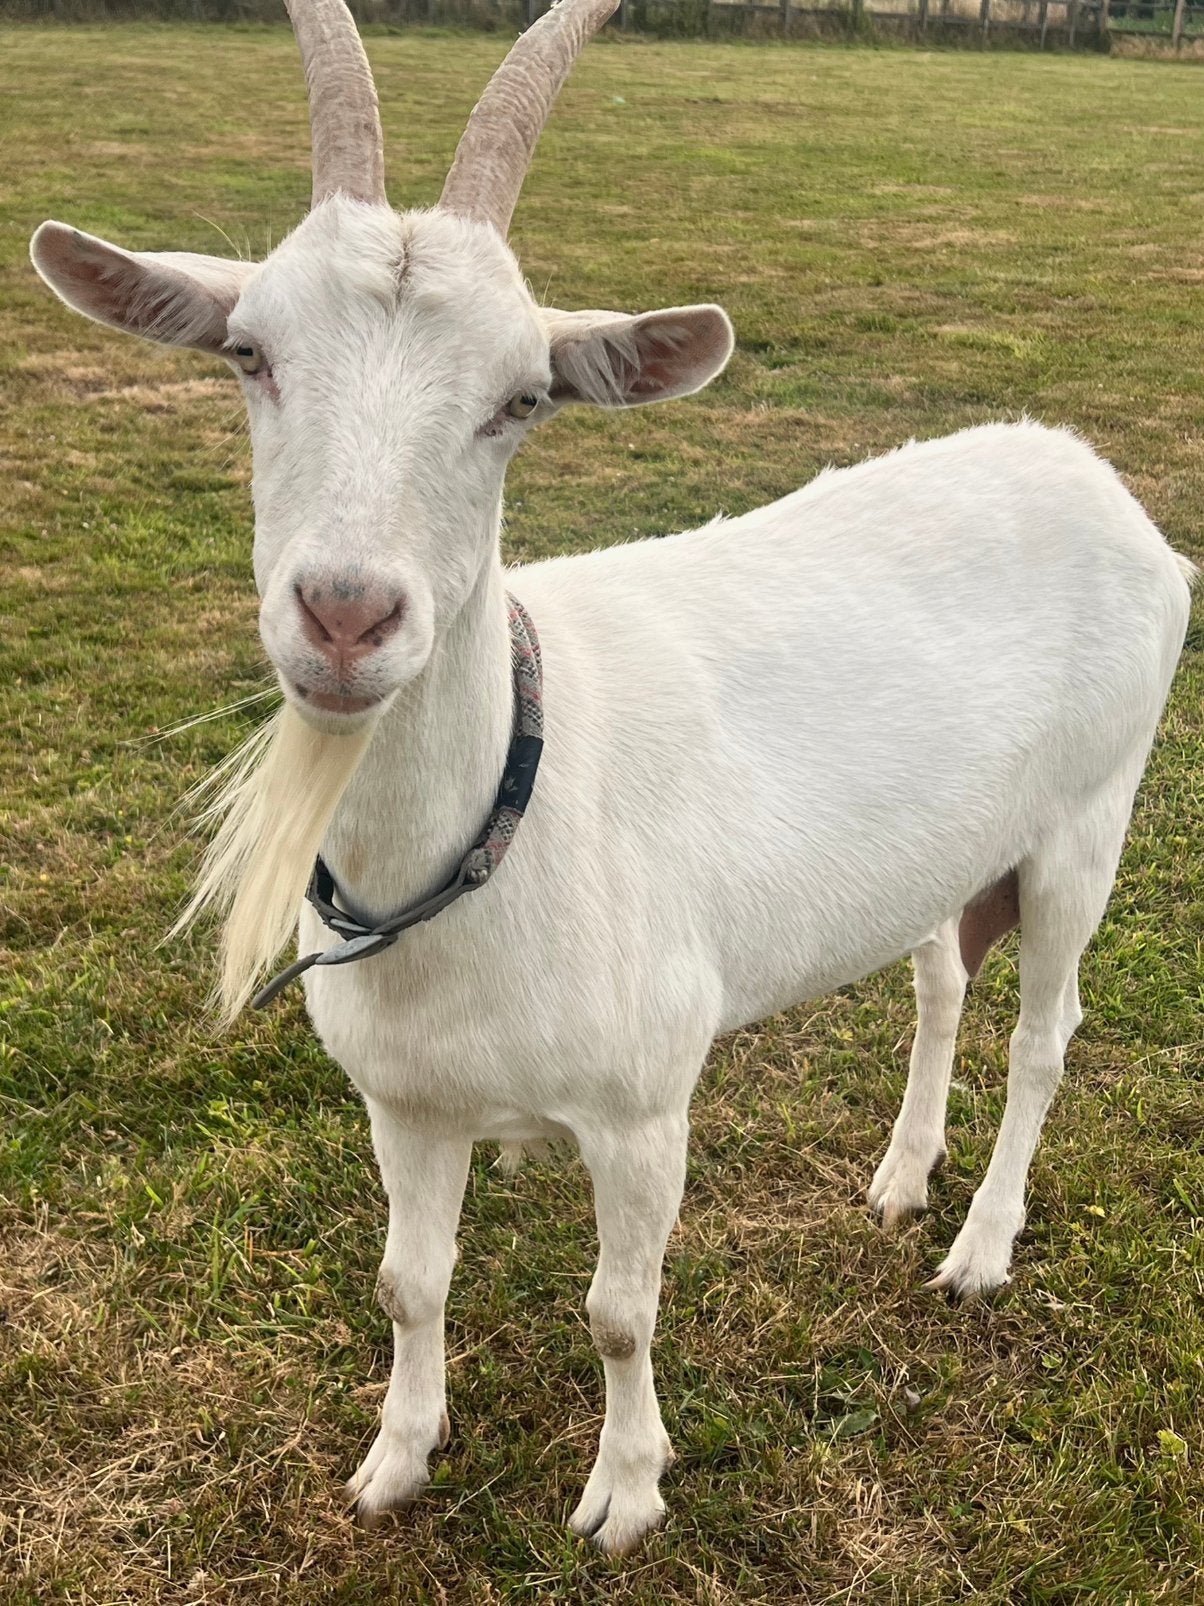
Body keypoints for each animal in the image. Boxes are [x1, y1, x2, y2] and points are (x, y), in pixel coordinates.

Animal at [29, 0, 1195, 1555]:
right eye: (248, 353)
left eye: (521, 398)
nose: (344, 614)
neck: (504, 818)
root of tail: (1093, 478)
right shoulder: (405, 1101)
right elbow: (407, 1283)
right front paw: (395, 1460)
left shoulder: (644, 1104)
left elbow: (619, 1311)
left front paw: (627, 1493)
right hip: (958, 846)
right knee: (943, 980)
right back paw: (901, 1178)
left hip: (1088, 818)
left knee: (1046, 1032)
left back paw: (978, 1247)